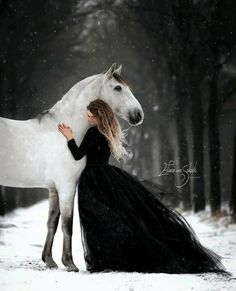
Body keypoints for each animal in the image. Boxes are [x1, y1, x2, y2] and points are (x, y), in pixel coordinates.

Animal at [0, 62, 144, 272]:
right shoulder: (66, 186)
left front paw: (49, 260)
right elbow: (68, 224)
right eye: (118, 88)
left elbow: (52, 222)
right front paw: (70, 263)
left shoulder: (54, 189)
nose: (139, 115)